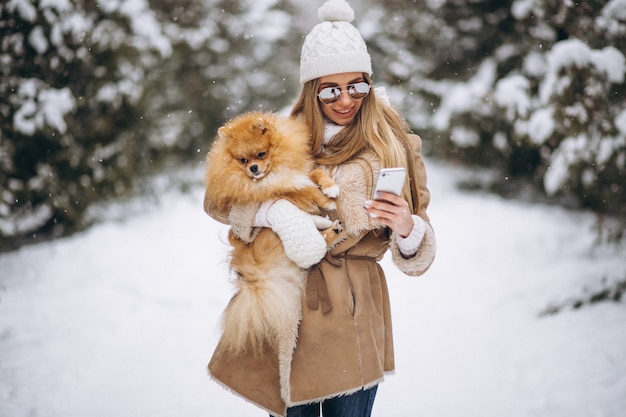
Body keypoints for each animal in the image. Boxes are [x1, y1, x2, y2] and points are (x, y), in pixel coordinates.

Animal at [204, 112, 342, 360]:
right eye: (242, 160)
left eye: (261, 154)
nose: (253, 169)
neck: (275, 171)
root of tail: (256, 276)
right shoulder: (279, 191)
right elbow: (302, 191)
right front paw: (324, 199)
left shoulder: (300, 172)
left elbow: (314, 173)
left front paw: (330, 187)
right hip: (273, 238)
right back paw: (329, 232)